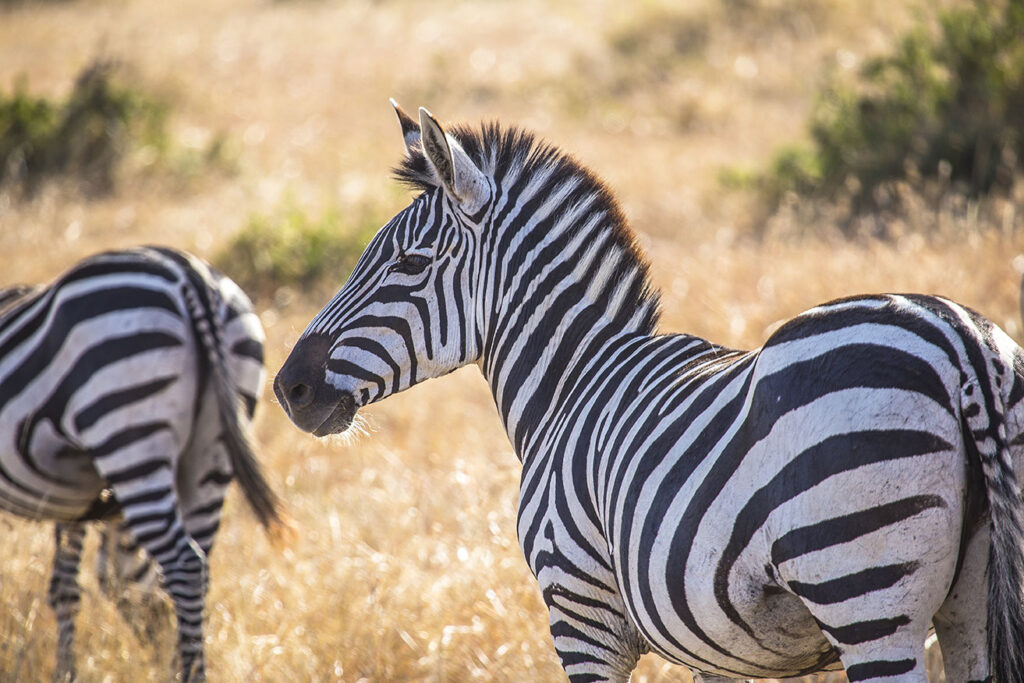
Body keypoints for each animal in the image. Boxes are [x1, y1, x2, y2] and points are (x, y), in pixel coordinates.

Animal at [1, 246, 288, 683]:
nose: (156, 646)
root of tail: (191, 275)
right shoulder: (75, 501)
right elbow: (77, 584)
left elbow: (70, 587)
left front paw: (66, 672)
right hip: (211, 451)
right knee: (193, 569)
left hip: (127, 422)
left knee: (184, 566)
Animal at [274, 107, 1024, 683]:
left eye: (410, 263)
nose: (289, 388)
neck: (572, 380)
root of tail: (961, 341)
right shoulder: (715, 648)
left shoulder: (581, 615)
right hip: (968, 604)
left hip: (864, 589)